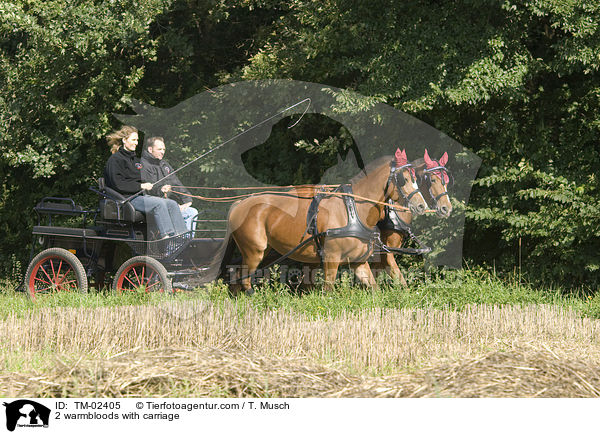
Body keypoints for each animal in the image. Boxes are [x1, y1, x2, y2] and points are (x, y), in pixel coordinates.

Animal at [227, 150, 428, 294]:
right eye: (404, 179)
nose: (421, 205)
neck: (353, 211)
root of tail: (240, 203)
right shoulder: (331, 258)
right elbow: (328, 293)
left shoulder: (359, 262)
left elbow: (375, 289)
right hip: (254, 252)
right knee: (242, 277)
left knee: (236, 279)